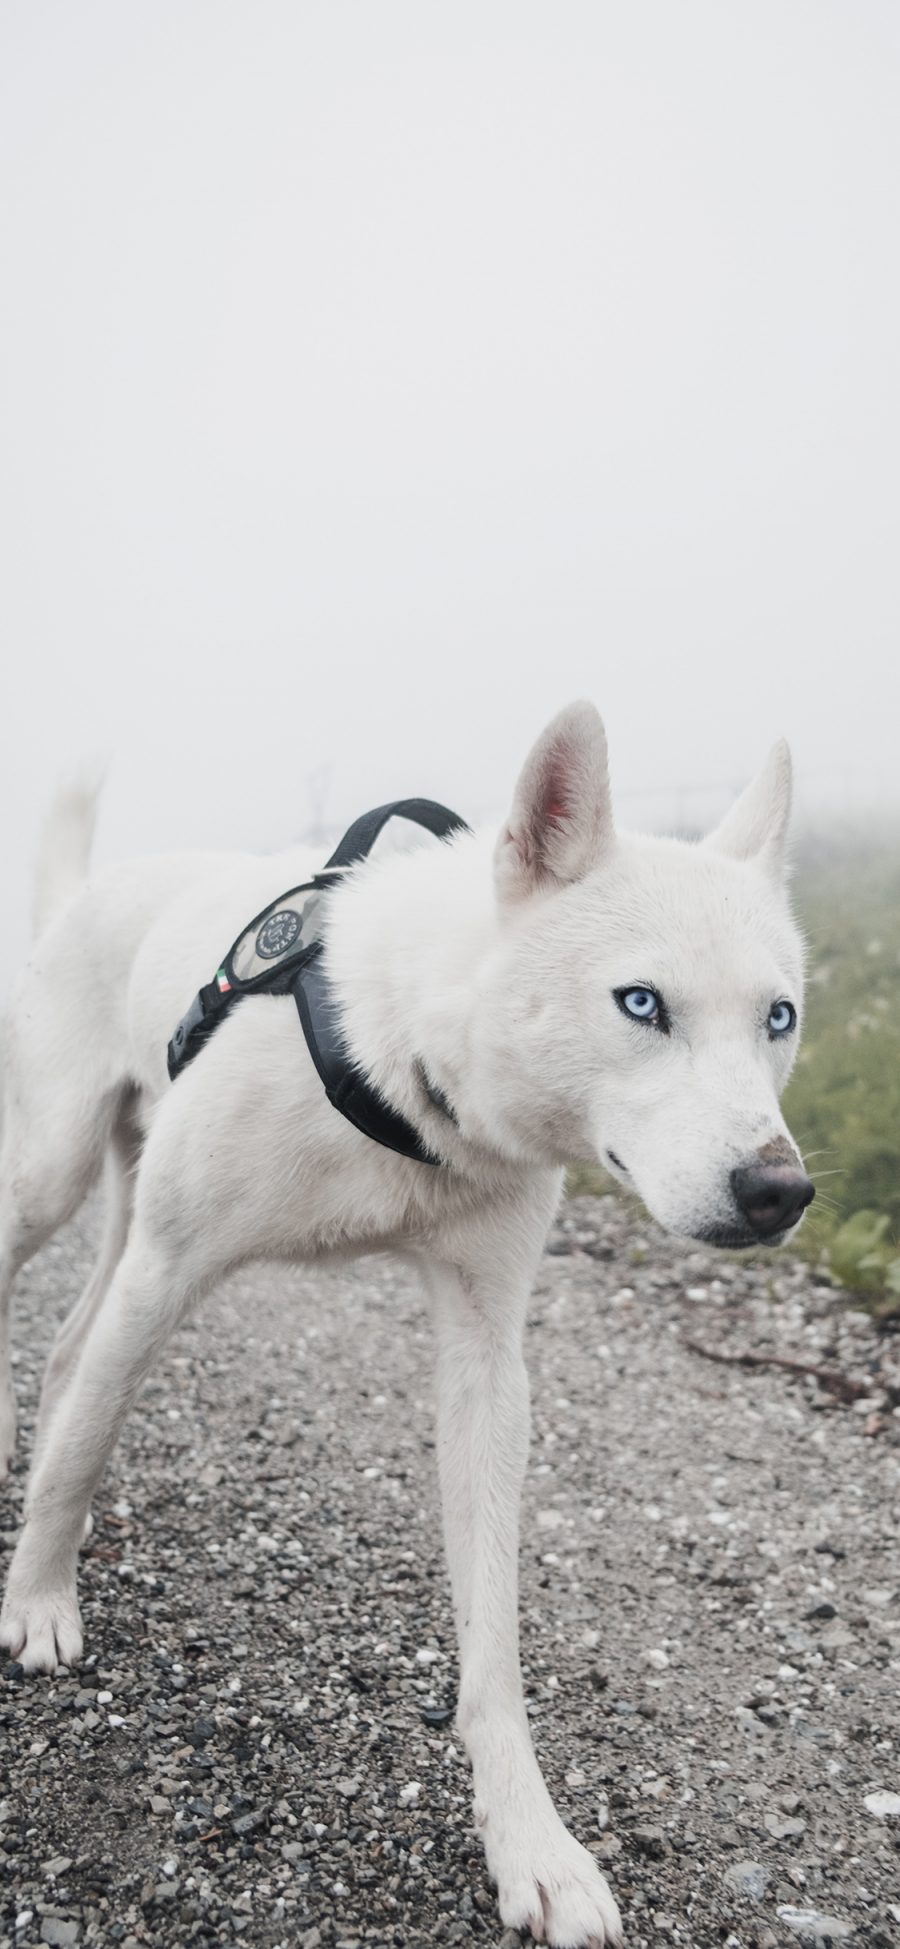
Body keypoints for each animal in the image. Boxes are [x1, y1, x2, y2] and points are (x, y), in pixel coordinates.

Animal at [1, 705, 814, 1949]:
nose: (781, 1192)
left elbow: (493, 1646)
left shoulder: (486, 1357)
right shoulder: (168, 1270)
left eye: (779, 1018)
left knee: (65, 1355)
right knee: (71, 1356)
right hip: (55, 1181)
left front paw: (529, 1838)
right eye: (641, 1003)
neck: (406, 1061)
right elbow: (82, 1450)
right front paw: (39, 1599)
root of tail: (93, 889)